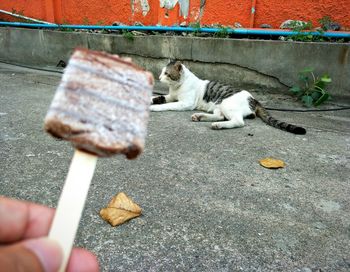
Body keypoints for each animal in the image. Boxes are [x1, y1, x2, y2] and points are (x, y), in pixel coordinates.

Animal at [150, 60, 306, 135]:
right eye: (162, 72)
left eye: (166, 74)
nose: (159, 77)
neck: (176, 86)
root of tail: (254, 100)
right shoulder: (170, 96)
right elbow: (160, 98)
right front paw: (151, 101)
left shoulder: (185, 103)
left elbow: (167, 105)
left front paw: (154, 108)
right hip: (218, 106)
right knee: (220, 116)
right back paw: (200, 117)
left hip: (226, 104)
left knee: (238, 122)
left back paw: (218, 125)